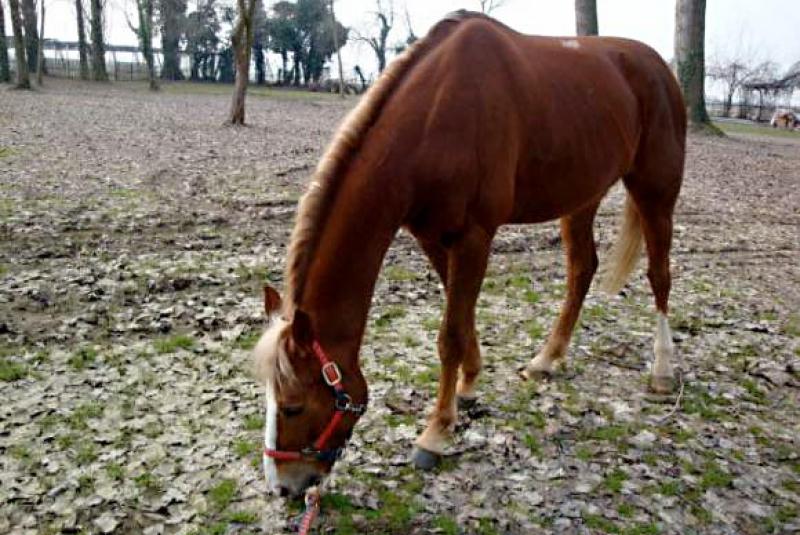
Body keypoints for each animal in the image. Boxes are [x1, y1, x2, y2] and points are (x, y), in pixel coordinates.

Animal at [254, 10, 686, 498]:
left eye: (292, 405)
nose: (284, 487)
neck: (435, 117)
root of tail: (658, 67)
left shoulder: (475, 236)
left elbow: (451, 336)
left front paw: (435, 433)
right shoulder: (432, 235)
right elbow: (463, 316)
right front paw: (469, 387)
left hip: (655, 189)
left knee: (659, 275)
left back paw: (662, 370)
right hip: (582, 196)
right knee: (582, 269)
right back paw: (546, 360)